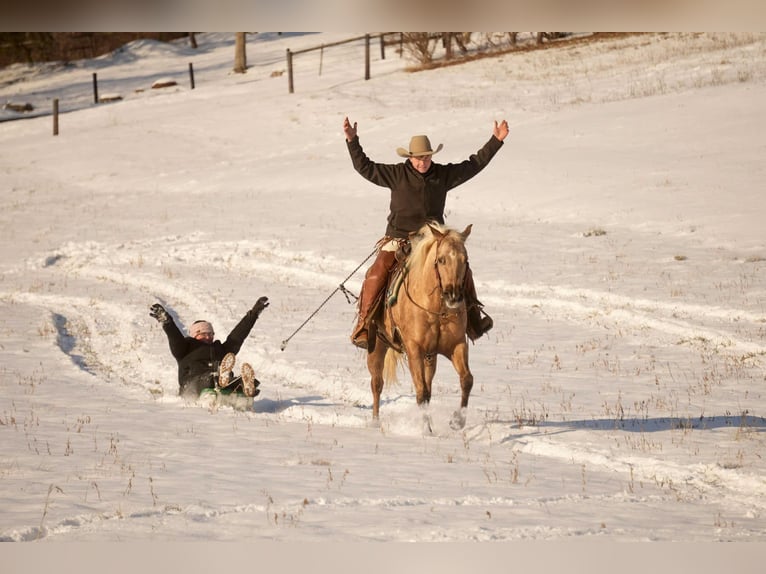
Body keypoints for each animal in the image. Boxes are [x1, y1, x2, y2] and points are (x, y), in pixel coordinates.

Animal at [368, 223, 474, 430]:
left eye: (465, 260)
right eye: (441, 260)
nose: (454, 296)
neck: (436, 310)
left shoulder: (456, 344)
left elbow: (466, 380)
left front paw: (457, 421)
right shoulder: (414, 349)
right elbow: (421, 393)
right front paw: (427, 430)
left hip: (430, 358)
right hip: (377, 345)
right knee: (377, 383)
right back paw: (375, 422)